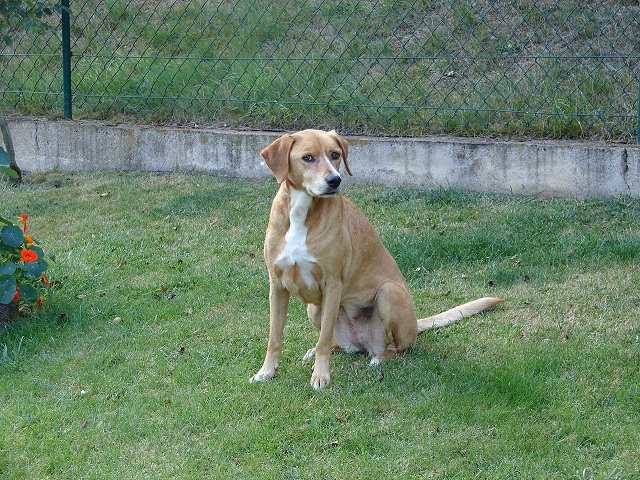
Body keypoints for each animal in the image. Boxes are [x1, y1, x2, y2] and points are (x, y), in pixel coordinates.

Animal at [250, 129, 503, 389]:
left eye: (335, 154)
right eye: (307, 157)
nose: (335, 180)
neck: (301, 212)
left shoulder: (332, 283)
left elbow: (321, 341)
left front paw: (320, 376)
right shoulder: (277, 285)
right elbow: (275, 337)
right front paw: (266, 371)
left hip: (388, 293)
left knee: (397, 347)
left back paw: (380, 358)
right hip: (315, 309)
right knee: (333, 341)